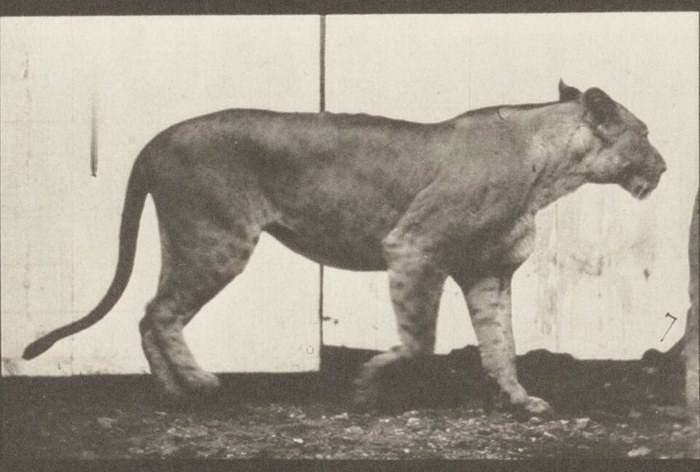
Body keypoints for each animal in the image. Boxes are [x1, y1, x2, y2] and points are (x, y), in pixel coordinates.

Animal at [23, 81, 666, 415]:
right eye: (645, 133)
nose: (663, 166)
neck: (549, 170)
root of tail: (156, 139)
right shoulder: (413, 245)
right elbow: (420, 340)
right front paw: (366, 384)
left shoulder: (487, 271)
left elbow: (500, 343)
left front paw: (518, 399)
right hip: (215, 239)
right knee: (159, 314)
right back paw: (199, 386)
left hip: (185, 239)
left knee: (146, 313)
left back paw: (173, 390)